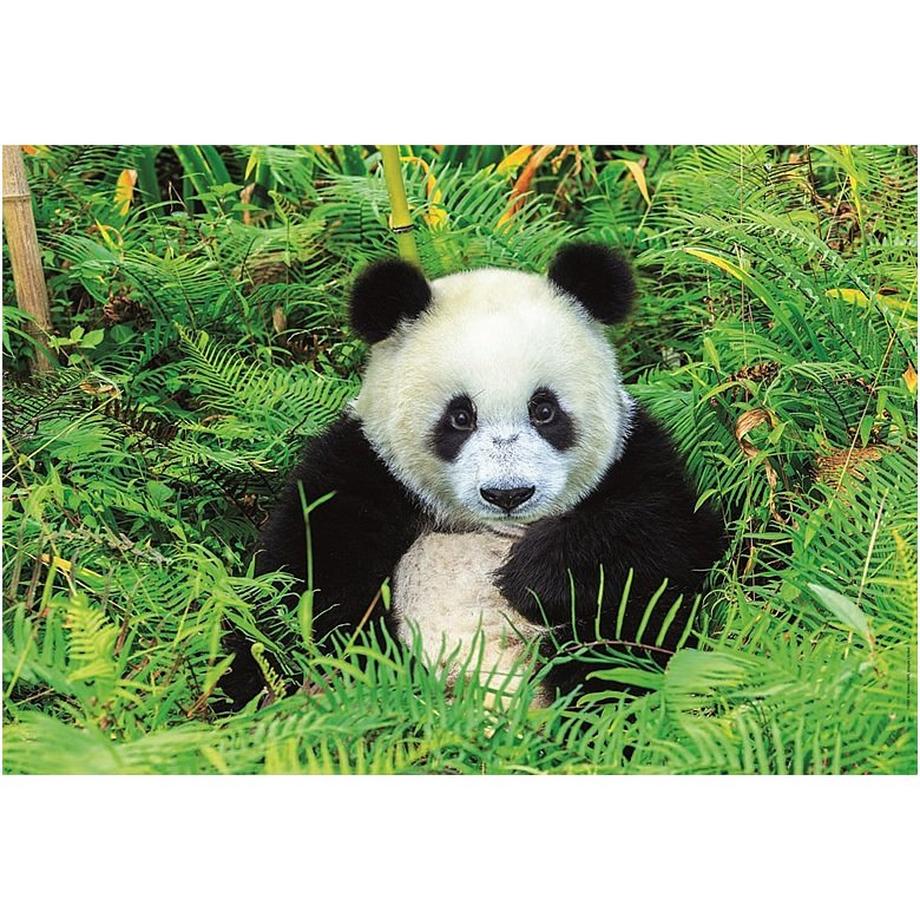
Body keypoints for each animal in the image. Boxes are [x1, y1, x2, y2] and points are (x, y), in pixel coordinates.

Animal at [222, 242, 725, 709]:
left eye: (544, 410)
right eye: (460, 417)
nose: (508, 494)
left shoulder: (635, 456)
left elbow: (670, 537)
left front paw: (531, 573)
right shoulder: (362, 469)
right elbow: (298, 584)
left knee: (617, 649)